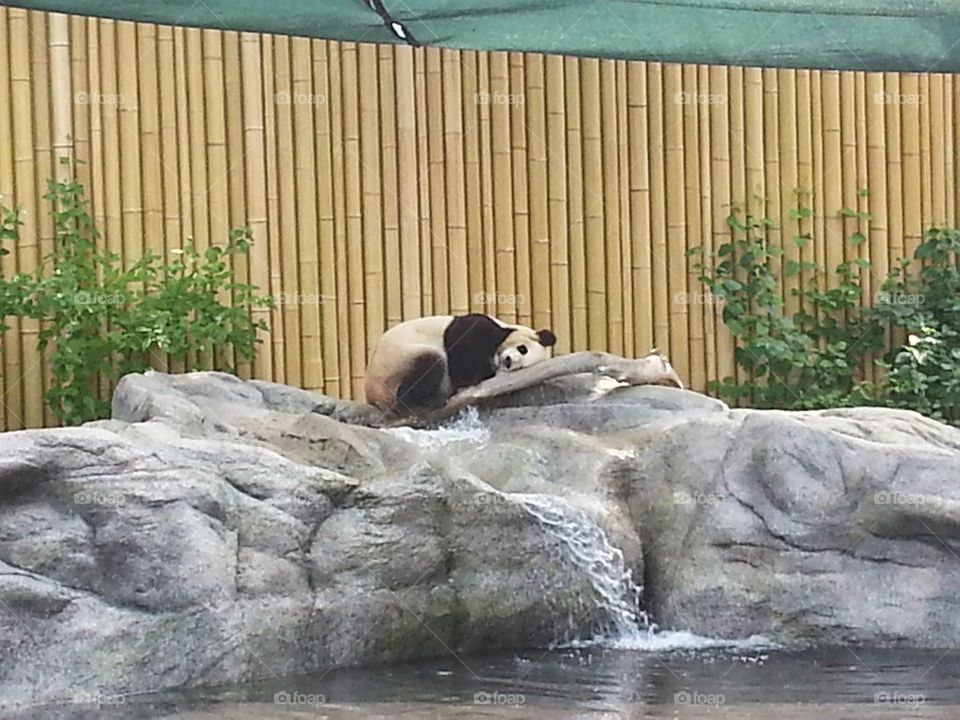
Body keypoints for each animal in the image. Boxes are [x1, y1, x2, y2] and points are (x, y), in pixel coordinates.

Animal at [364, 313, 558, 415]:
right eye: (523, 349)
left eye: (521, 367)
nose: (509, 362)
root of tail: (374, 398)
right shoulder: (476, 327)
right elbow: (461, 352)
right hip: (395, 363)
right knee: (431, 363)